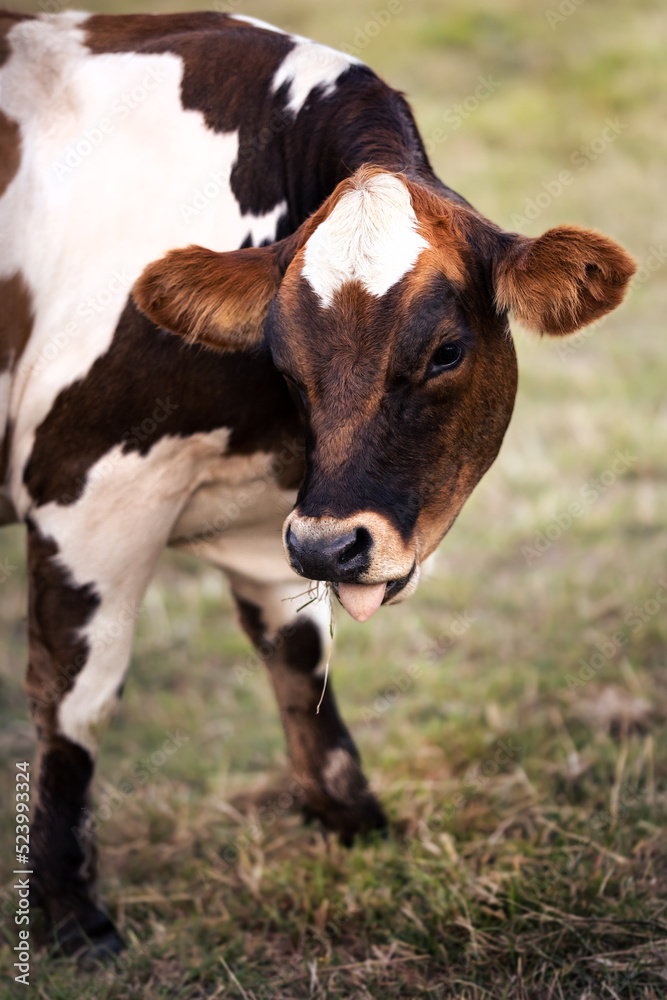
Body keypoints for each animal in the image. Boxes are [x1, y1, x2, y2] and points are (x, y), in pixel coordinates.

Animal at [0, 9, 635, 960]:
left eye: (445, 350)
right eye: (283, 356)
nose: (334, 545)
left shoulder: (282, 526)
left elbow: (299, 662)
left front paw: (350, 817)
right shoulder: (83, 495)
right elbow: (77, 699)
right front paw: (73, 914)